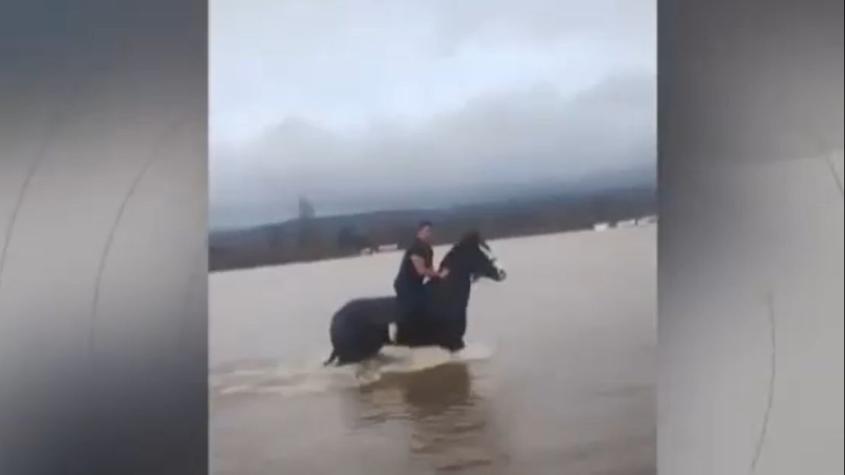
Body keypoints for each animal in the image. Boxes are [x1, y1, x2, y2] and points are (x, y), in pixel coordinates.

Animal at [324, 232, 504, 366]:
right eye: (481, 254)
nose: (502, 273)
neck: (445, 296)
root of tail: (336, 318)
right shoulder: (455, 342)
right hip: (351, 355)